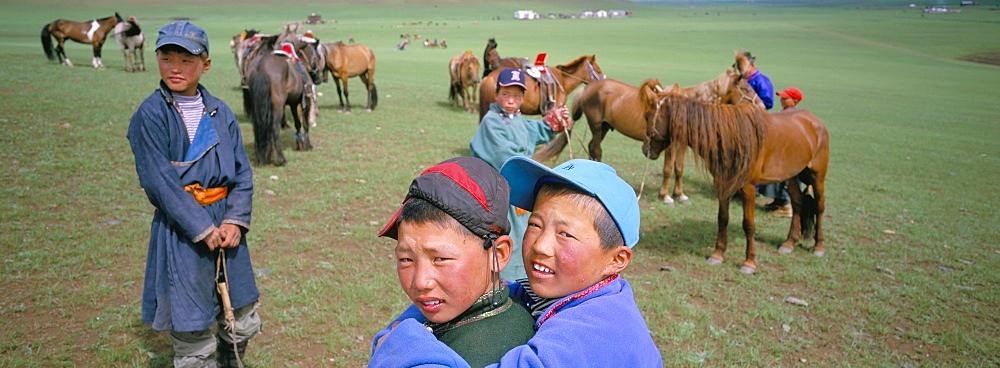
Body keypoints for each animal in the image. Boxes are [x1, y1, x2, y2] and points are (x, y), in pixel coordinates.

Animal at [536, 69, 760, 207]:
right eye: (747, 88)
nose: (760, 105)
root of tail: (588, 87)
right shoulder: (671, 146)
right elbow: (668, 169)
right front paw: (666, 196)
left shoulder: (680, 145)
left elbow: (679, 169)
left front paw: (680, 194)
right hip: (597, 126)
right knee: (596, 148)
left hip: (605, 127)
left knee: (592, 147)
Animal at [640, 78, 828, 274]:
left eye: (647, 116)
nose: (645, 149)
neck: (731, 137)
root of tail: (814, 121)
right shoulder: (723, 184)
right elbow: (722, 219)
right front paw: (717, 254)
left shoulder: (748, 187)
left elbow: (749, 224)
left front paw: (749, 262)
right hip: (791, 175)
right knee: (797, 203)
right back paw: (789, 243)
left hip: (817, 176)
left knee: (820, 206)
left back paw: (819, 246)